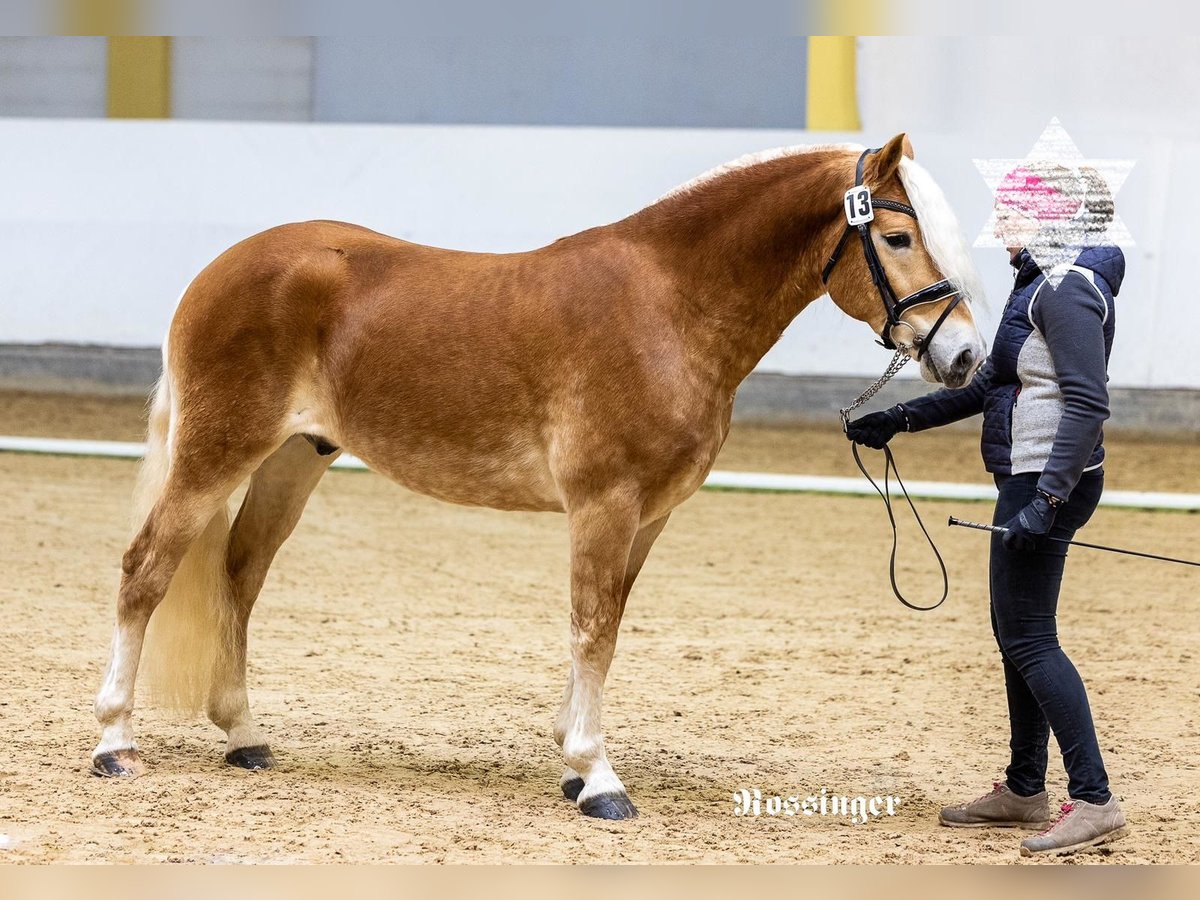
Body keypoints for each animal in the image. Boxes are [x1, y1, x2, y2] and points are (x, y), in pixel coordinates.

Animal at [93, 130, 988, 820]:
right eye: (898, 239)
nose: (966, 356)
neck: (668, 306)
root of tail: (221, 269)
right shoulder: (604, 504)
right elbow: (591, 628)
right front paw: (598, 779)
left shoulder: (649, 515)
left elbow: (608, 624)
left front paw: (570, 762)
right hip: (214, 454)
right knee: (146, 570)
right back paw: (115, 742)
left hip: (291, 461)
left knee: (238, 577)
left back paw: (244, 736)